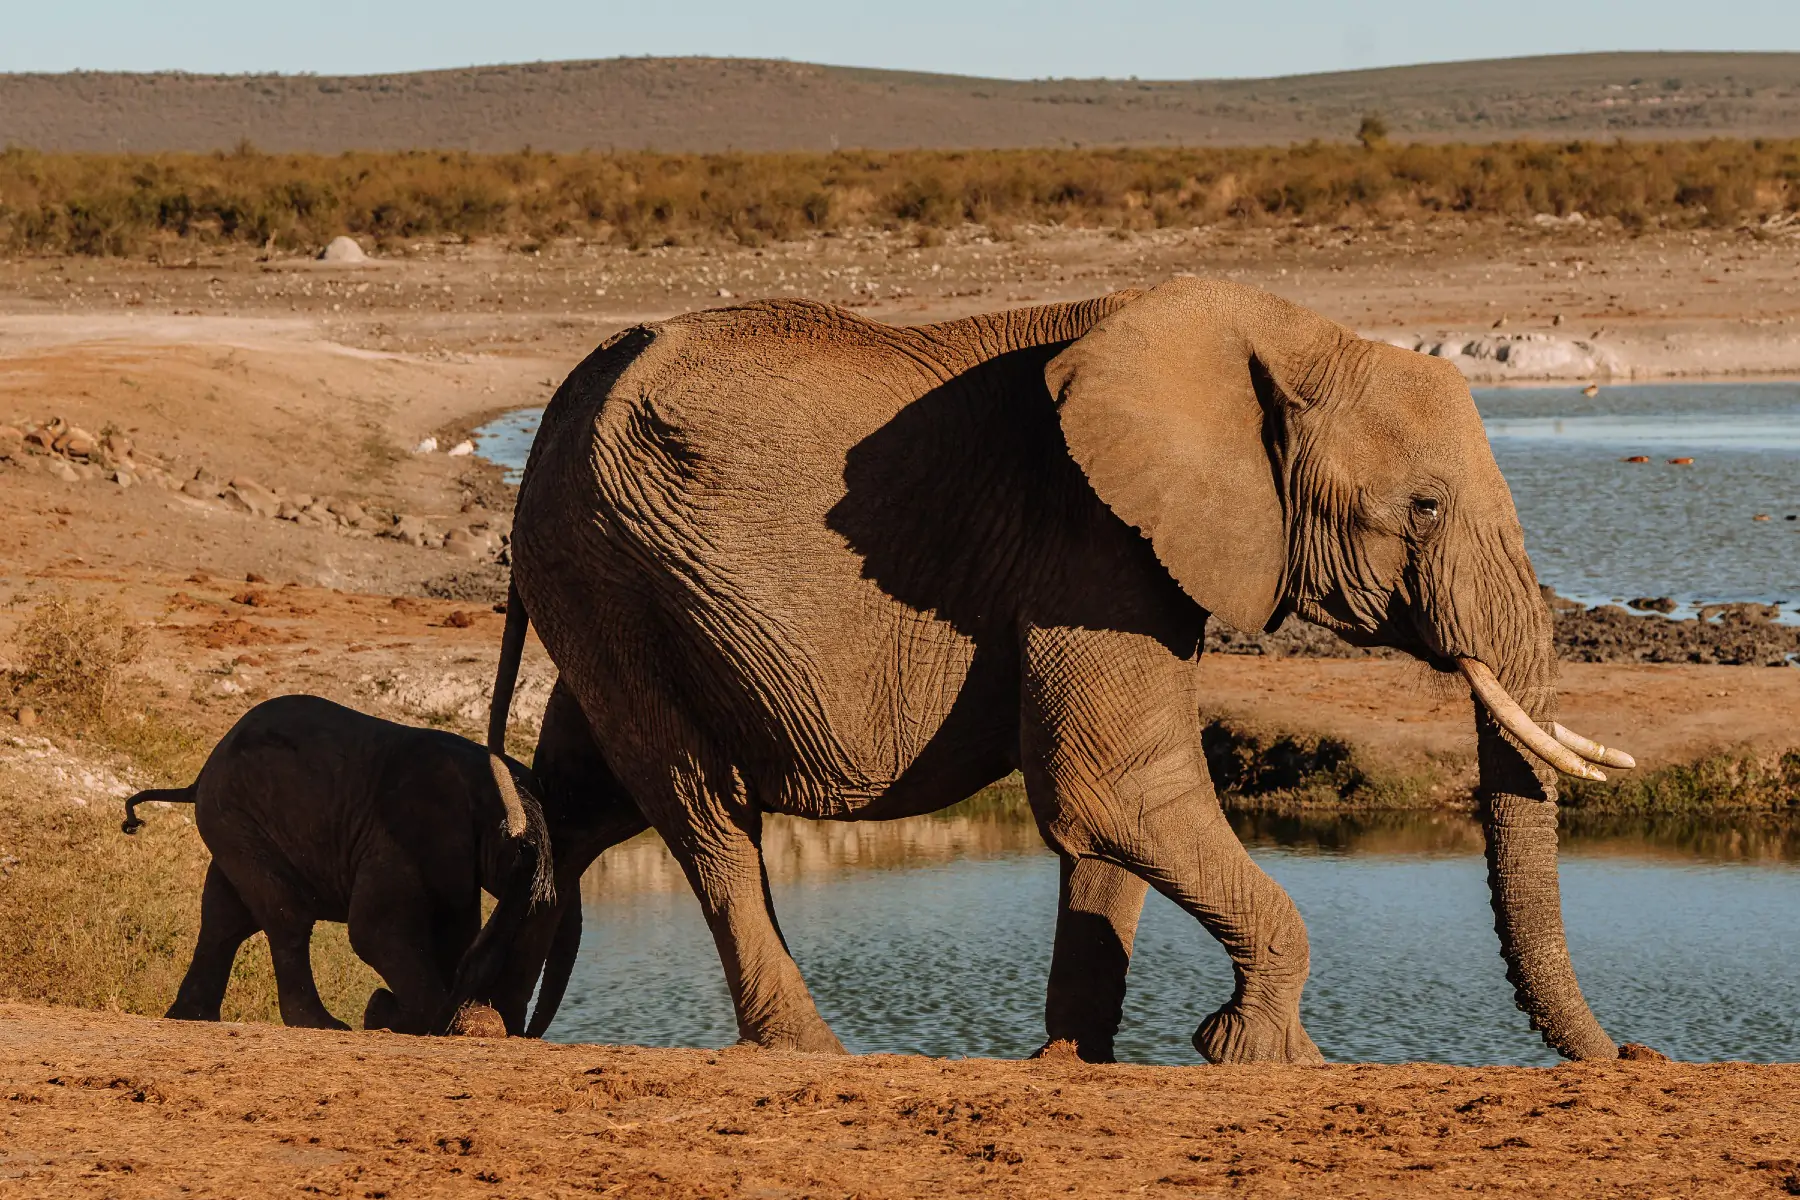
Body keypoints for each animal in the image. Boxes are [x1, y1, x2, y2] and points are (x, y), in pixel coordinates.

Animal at [123, 698, 550, 1036]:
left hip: (233, 824)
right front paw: (431, 1022)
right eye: (521, 850)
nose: (379, 1006)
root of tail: (199, 776)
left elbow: (454, 928)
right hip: (237, 817)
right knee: (285, 916)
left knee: (224, 919)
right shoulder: (406, 832)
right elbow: (374, 930)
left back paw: (191, 1017)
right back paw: (324, 1024)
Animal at [475, 278, 1634, 1057]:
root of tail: (559, 401)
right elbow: (1112, 785)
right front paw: (1261, 1056)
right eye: (1425, 507)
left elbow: (1112, 816)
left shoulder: (1133, 548)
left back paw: (471, 1026)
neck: (1285, 336)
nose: (1631, 1053)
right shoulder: (1091, 536)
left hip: (604, 578)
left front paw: (1079, 1060)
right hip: (609, 567)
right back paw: (810, 1050)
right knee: (705, 815)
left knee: (578, 806)